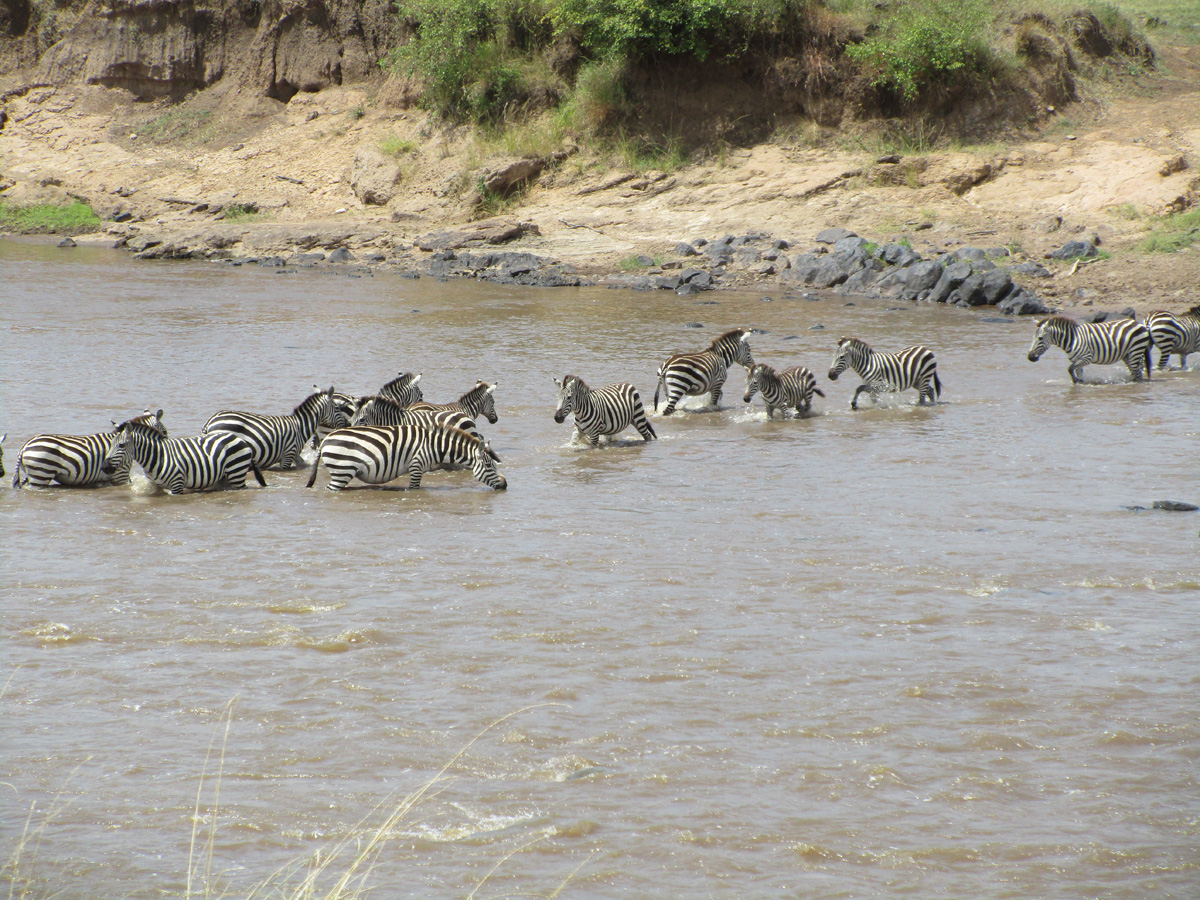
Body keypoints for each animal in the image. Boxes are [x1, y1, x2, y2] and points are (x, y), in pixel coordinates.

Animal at [109, 414, 267, 493]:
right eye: (111, 444)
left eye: (121, 445)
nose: (105, 467)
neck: (158, 455)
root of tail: (241, 439)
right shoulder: (156, 485)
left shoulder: (177, 485)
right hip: (225, 477)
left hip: (236, 473)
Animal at [201, 386, 348, 470]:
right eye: (337, 408)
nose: (346, 424)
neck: (300, 427)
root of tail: (210, 421)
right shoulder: (288, 454)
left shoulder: (295, 455)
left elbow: (303, 463)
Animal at [306, 423, 506, 491]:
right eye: (490, 466)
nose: (505, 485)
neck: (434, 446)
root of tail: (326, 440)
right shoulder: (416, 466)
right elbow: (414, 489)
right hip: (342, 471)